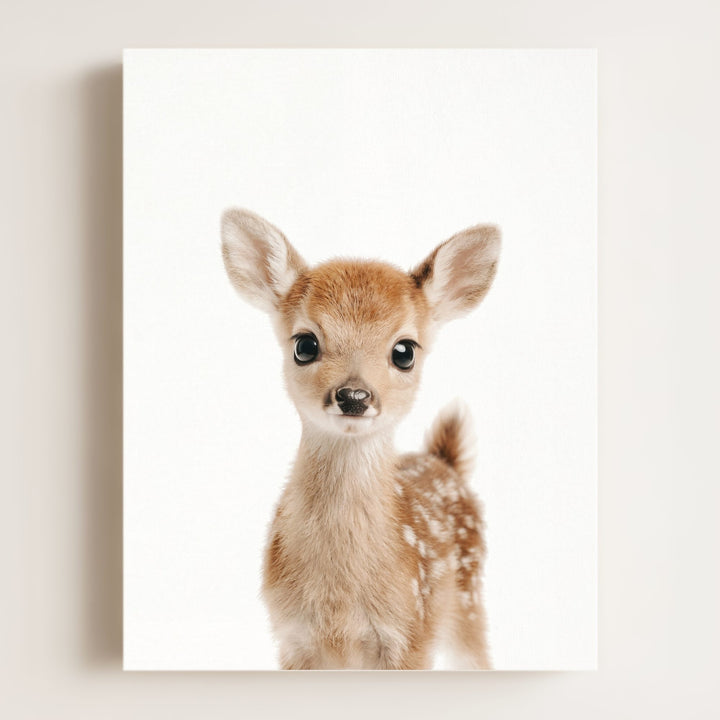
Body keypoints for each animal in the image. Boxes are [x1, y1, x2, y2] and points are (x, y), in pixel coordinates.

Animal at [221, 208, 500, 669]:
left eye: (404, 351)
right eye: (305, 344)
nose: (354, 396)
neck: (340, 604)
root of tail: (445, 461)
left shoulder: (411, 634)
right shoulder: (291, 638)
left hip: (469, 602)